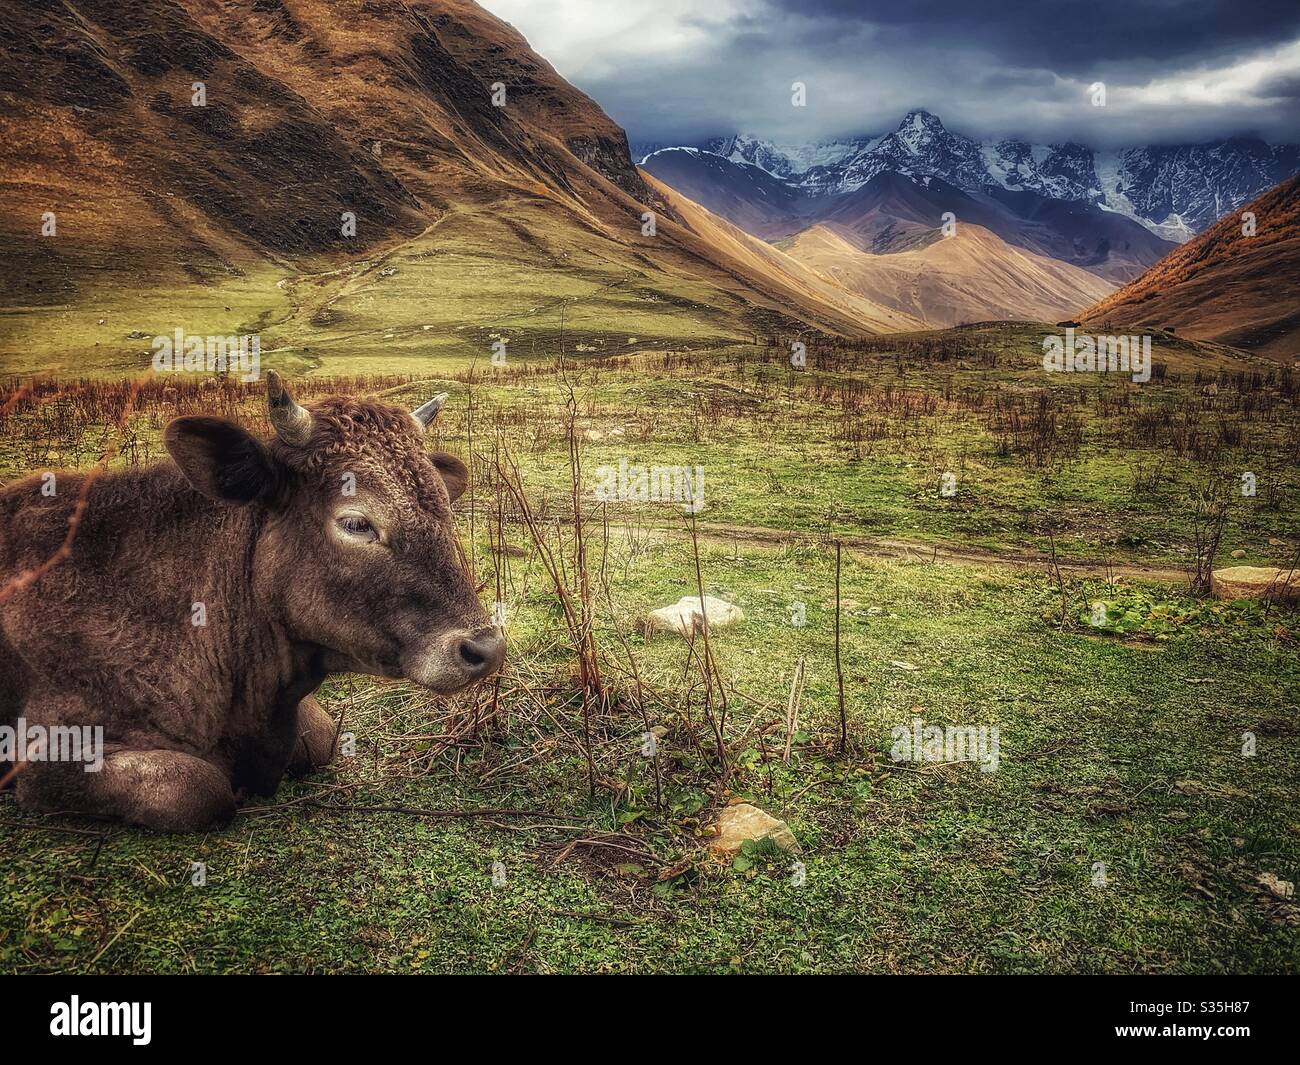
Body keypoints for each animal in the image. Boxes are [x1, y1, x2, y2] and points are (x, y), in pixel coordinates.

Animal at [0, 374, 504, 831]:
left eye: (444, 508)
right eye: (357, 523)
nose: (486, 649)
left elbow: (320, 739)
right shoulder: (49, 753)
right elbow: (197, 788)